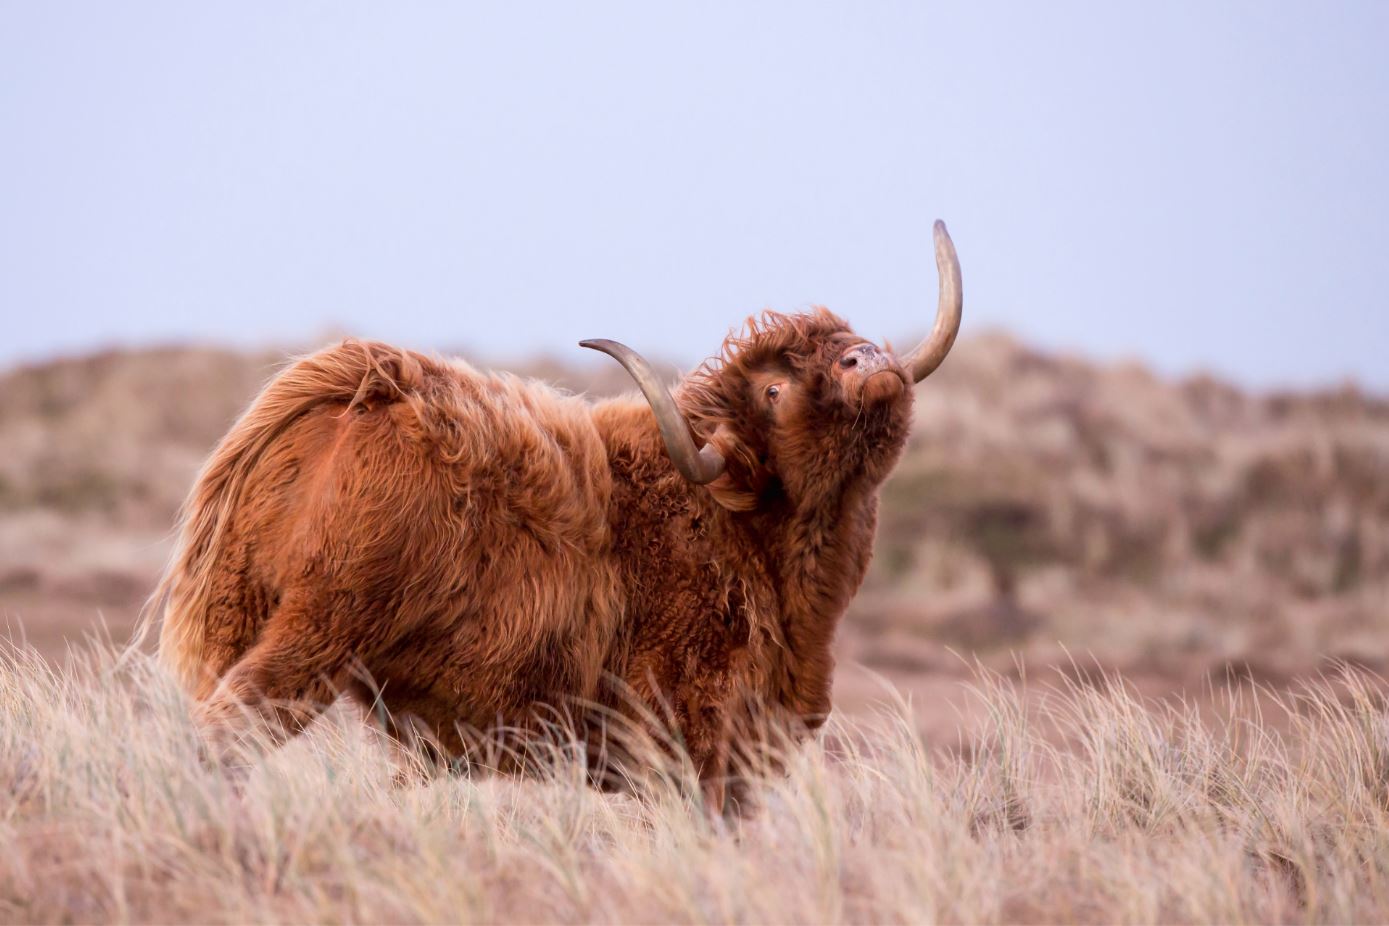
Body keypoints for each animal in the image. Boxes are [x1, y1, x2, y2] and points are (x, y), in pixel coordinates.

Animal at [151, 220, 963, 809]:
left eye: (843, 341)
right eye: (772, 390)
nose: (867, 359)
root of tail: (361, 385)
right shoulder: (690, 741)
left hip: (239, 617)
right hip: (317, 633)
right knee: (224, 734)